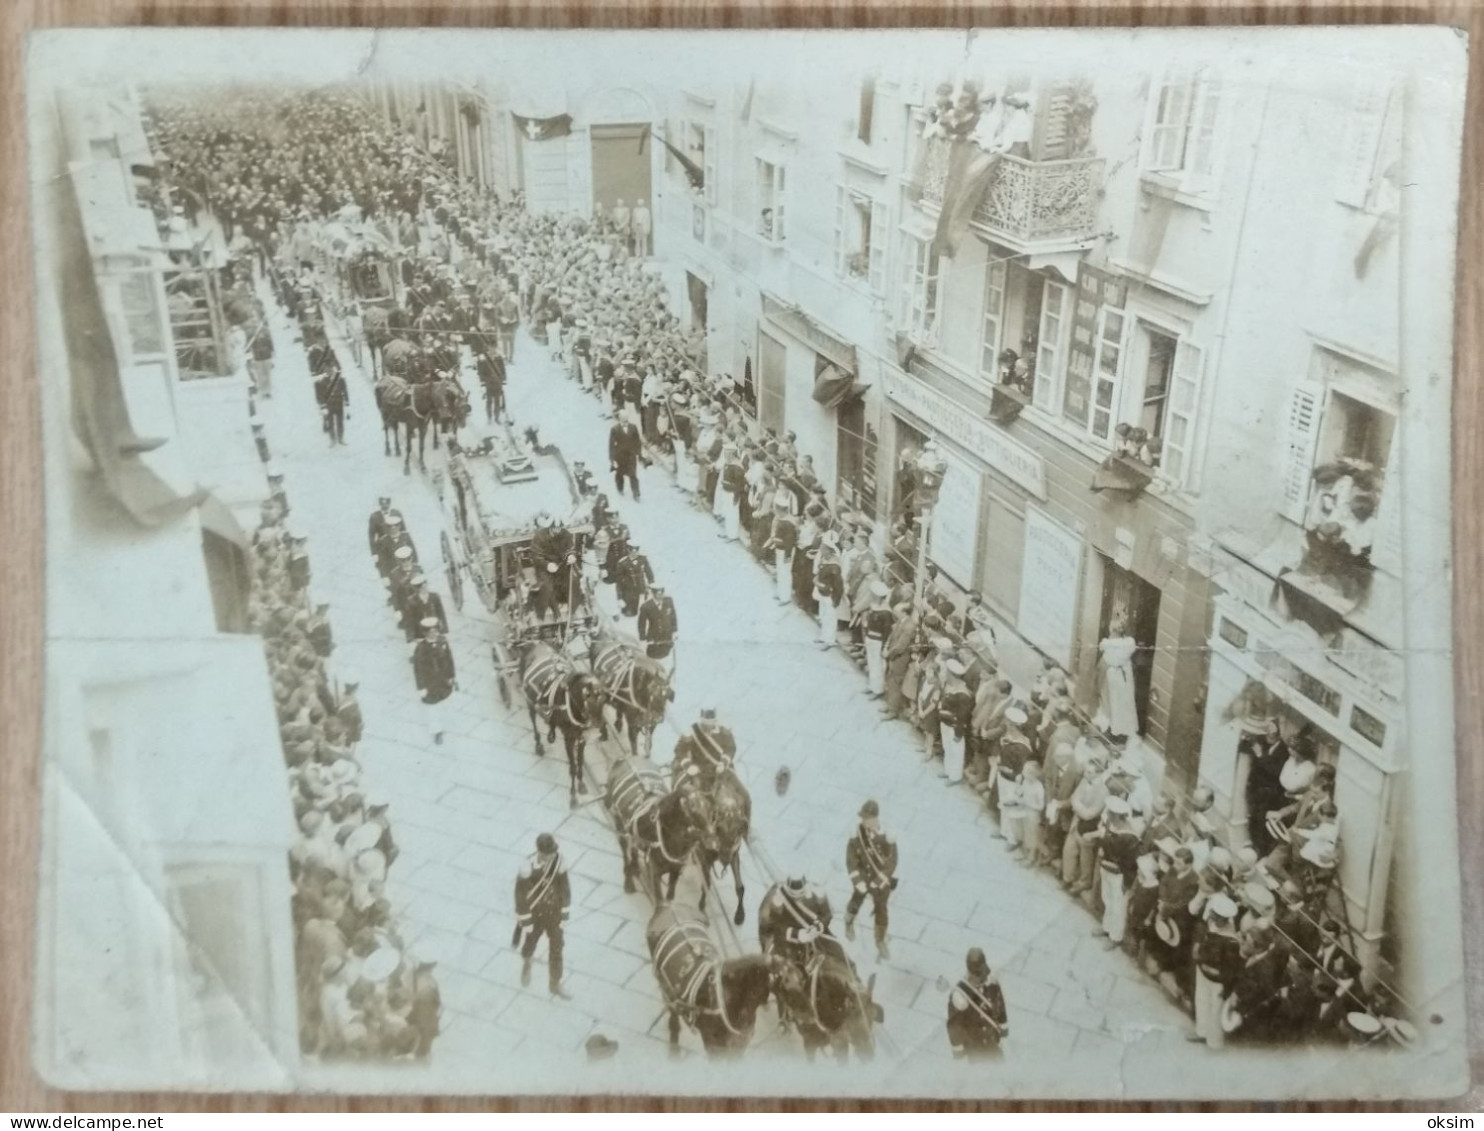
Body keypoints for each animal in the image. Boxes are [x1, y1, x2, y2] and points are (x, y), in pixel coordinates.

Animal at [516, 638, 608, 807]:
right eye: (589, 700)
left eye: (605, 699)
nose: (599, 726)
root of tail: (535, 643)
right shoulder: (569, 740)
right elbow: (572, 766)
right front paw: (573, 797)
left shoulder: (582, 738)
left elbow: (580, 761)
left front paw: (581, 785)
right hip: (530, 701)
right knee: (533, 719)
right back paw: (538, 745)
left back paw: (551, 731)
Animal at [605, 754, 715, 902]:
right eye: (692, 809)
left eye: (710, 808)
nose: (711, 838)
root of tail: (625, 758)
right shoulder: (655, 871)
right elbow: (660, 900)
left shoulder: (675, 870)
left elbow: (669, 898)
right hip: (619, 822)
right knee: (625, 849)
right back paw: (629, 881)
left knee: (633, 849)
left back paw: (635, 868)